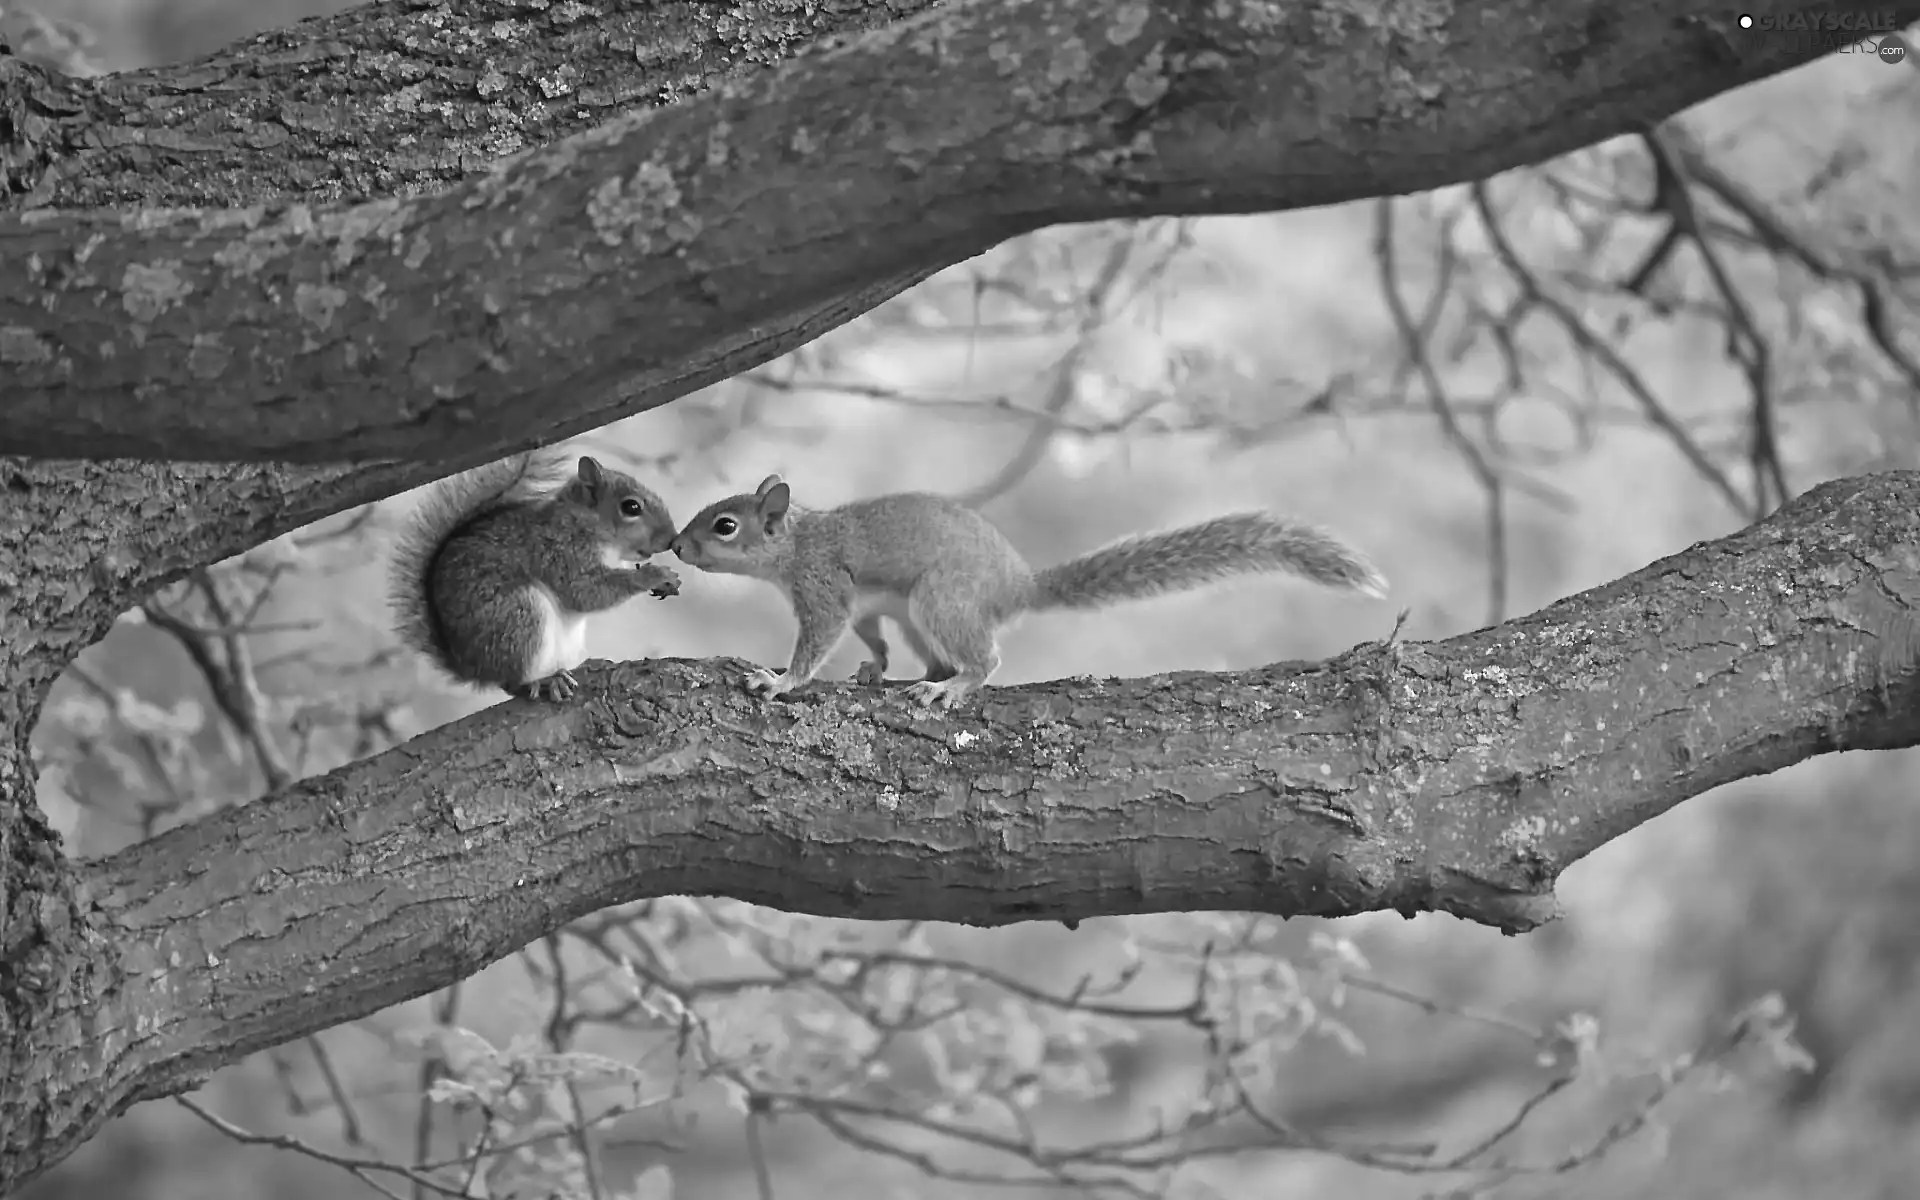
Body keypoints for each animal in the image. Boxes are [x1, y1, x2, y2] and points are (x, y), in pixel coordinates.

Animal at [384, 449, 683, 702]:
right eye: (632, 507)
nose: (671, 539)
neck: (587, 524)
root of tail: (472, 668)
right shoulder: (559, 552)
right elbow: (585, 592)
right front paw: (653, 575)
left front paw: (668, 581)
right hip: (517, 616)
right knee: (511, 682)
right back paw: (544, 682)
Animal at [668, 472, 1390, 706]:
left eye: (725, 526)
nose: (675, 545)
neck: (796, 543)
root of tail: (1017, 587)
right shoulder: (864, 604)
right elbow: (868, 635)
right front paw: (872, 667)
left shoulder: (823, 586)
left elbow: (816, 641)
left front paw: (779, 681)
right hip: (917, 614)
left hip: (940, 600)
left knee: (984, 659)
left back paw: (952, 687)